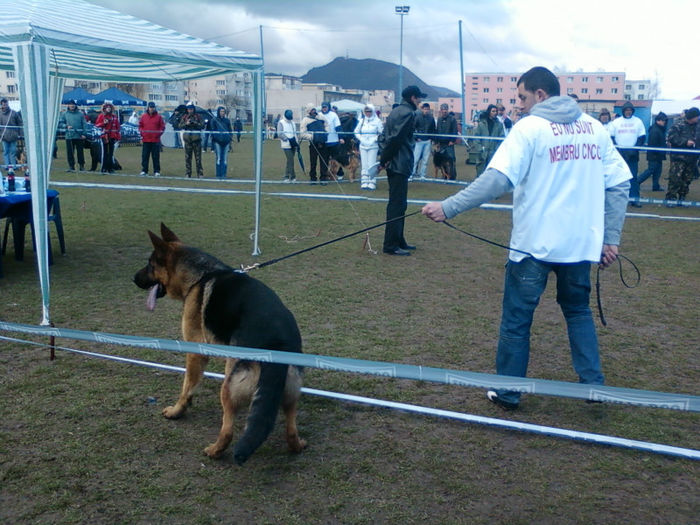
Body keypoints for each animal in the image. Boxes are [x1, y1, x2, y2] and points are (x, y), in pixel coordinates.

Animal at [132, 223, 306, 464]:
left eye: (150, 265)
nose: (133, 278)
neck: (199, 276)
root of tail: (277, 345)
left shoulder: (195, 352)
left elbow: (187, 387)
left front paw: (177, 411)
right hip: (290, 395)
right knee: (291, 429)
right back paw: (298, 445)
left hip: (229, 387)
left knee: (228, 430)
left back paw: (214, 450)